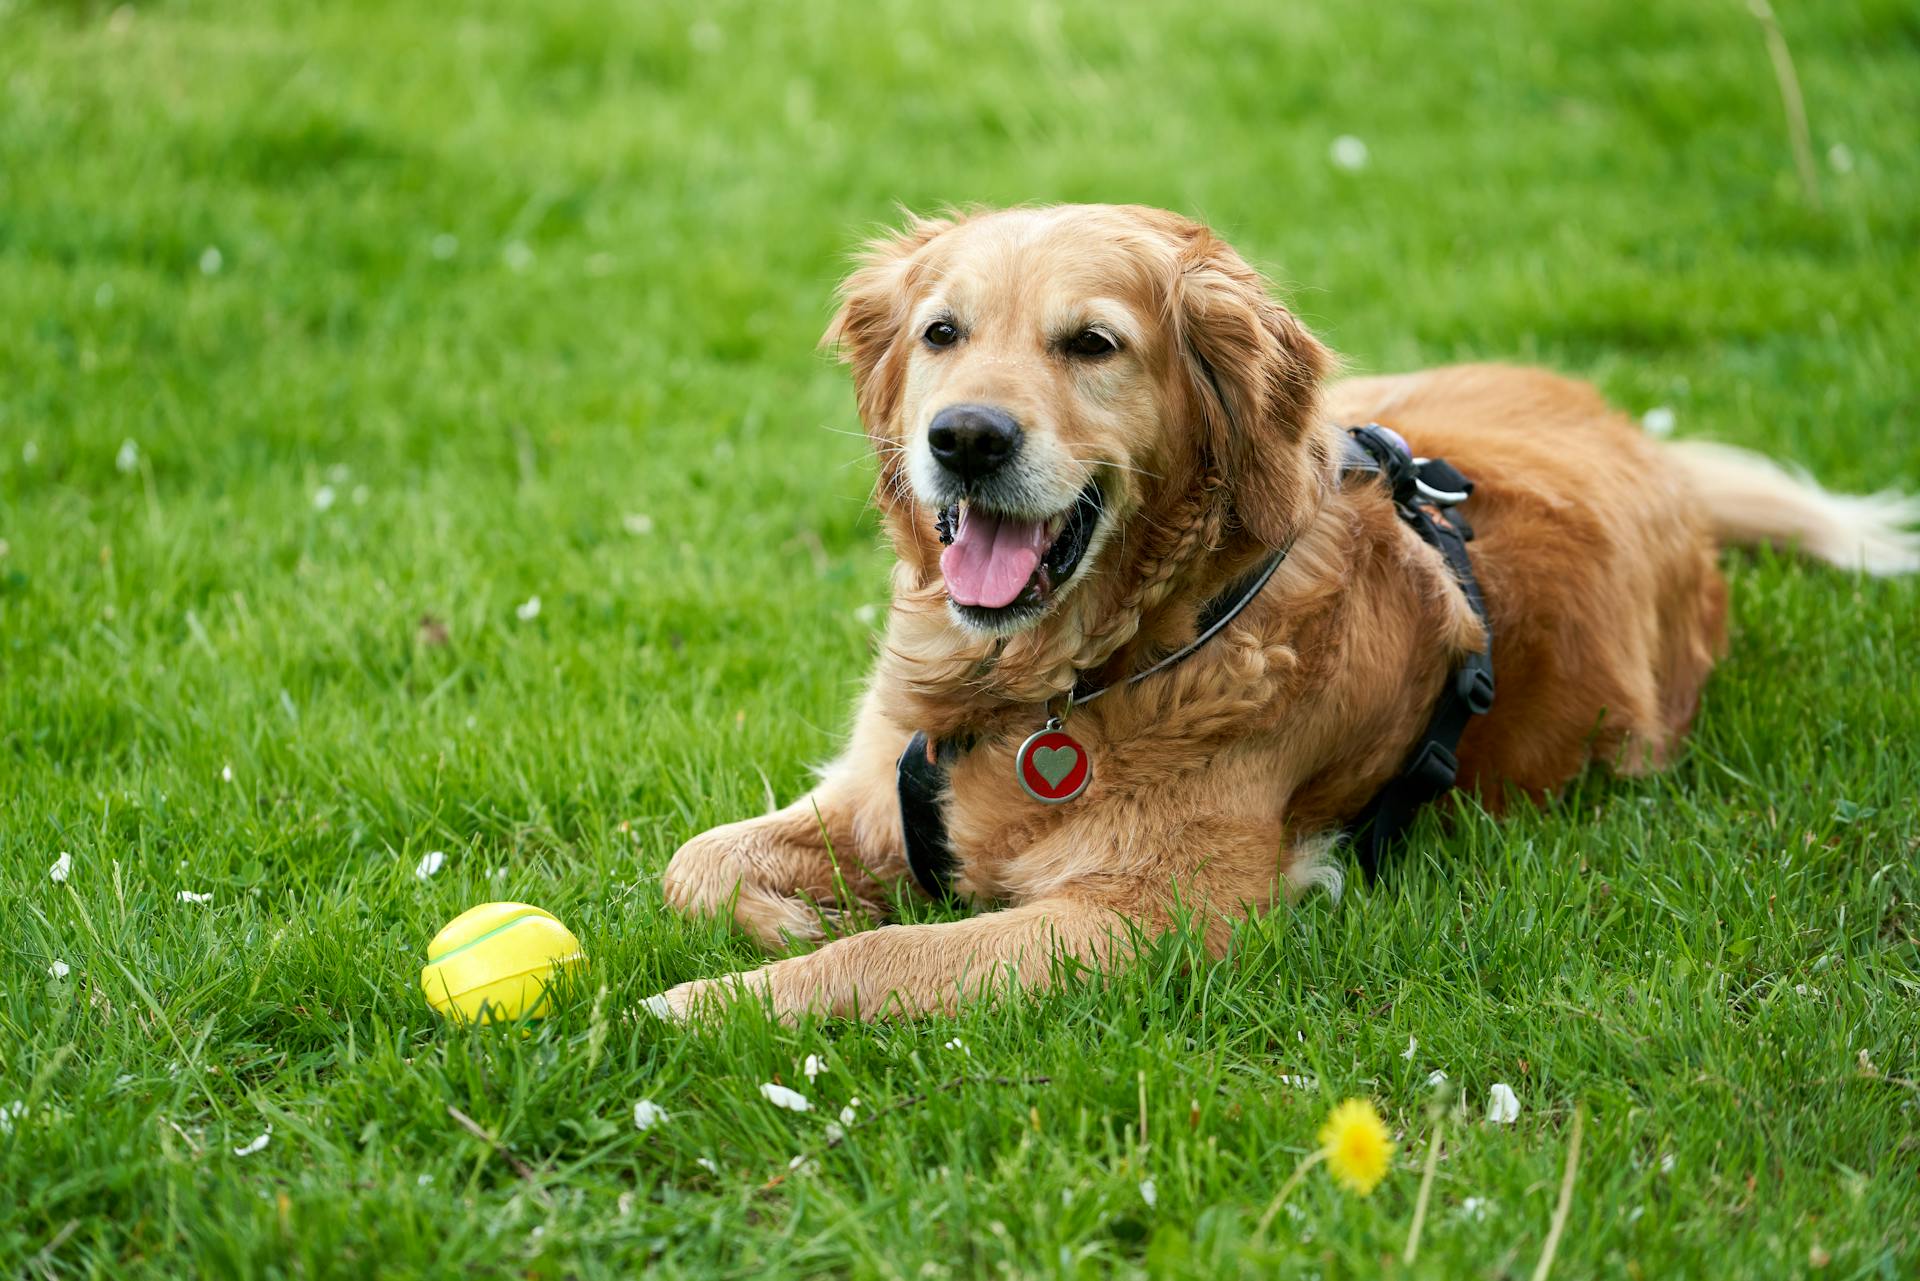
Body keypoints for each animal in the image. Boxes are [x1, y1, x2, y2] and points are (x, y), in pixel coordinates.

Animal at [648, 202, 1920, 1021]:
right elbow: (692, 863)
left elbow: (892, 958)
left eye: (1092, 343)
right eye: (941, 333)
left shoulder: (1155, 914)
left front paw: (716, 1001)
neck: (1070, 681)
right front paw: (785, 925)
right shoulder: (877, 788)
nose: (963, 438)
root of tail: (1651, 450)